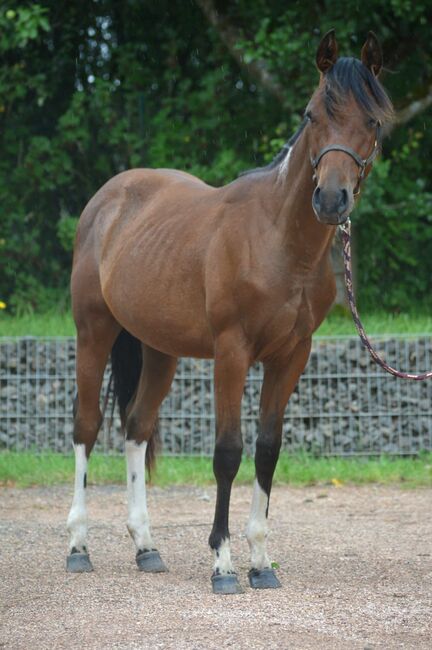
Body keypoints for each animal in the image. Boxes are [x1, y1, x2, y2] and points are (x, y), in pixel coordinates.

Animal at [66, 31, 394, 592]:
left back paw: (146, 547)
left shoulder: (292, 356)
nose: (330, 200)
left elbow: (266, 448)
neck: (278, 242)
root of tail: (106, 200)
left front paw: (260, 561)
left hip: (159, 350)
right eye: (311, 115)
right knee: (87, 427)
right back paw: (78, 546)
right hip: (93, 331)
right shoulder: (232, 352)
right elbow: (227, 452)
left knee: (136, 426)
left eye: (371, 121)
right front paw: (222, 563)